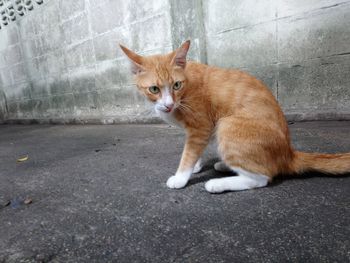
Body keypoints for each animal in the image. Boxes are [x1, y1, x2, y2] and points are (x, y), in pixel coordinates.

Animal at [118, 40, 350, 193]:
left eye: (176, 85)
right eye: (154, 89)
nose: (168, 104)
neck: (184, 93)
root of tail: (288, 153)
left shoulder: (201, 126)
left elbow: (189, 153)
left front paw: (181, 177)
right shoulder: (198, 131)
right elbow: (194, 149)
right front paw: (197, 166)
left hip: (227, 124)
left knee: (262, 178)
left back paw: (218, 184)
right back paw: (224, 165)